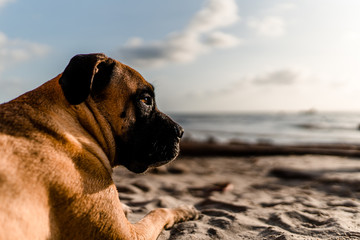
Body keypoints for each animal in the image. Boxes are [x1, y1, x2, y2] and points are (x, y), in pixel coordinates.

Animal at [0, 53, 198, 239]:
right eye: (146, 100)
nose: (181, 131)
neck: (75, 122)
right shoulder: (128, 235)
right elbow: (158, 211)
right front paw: (183, 209)